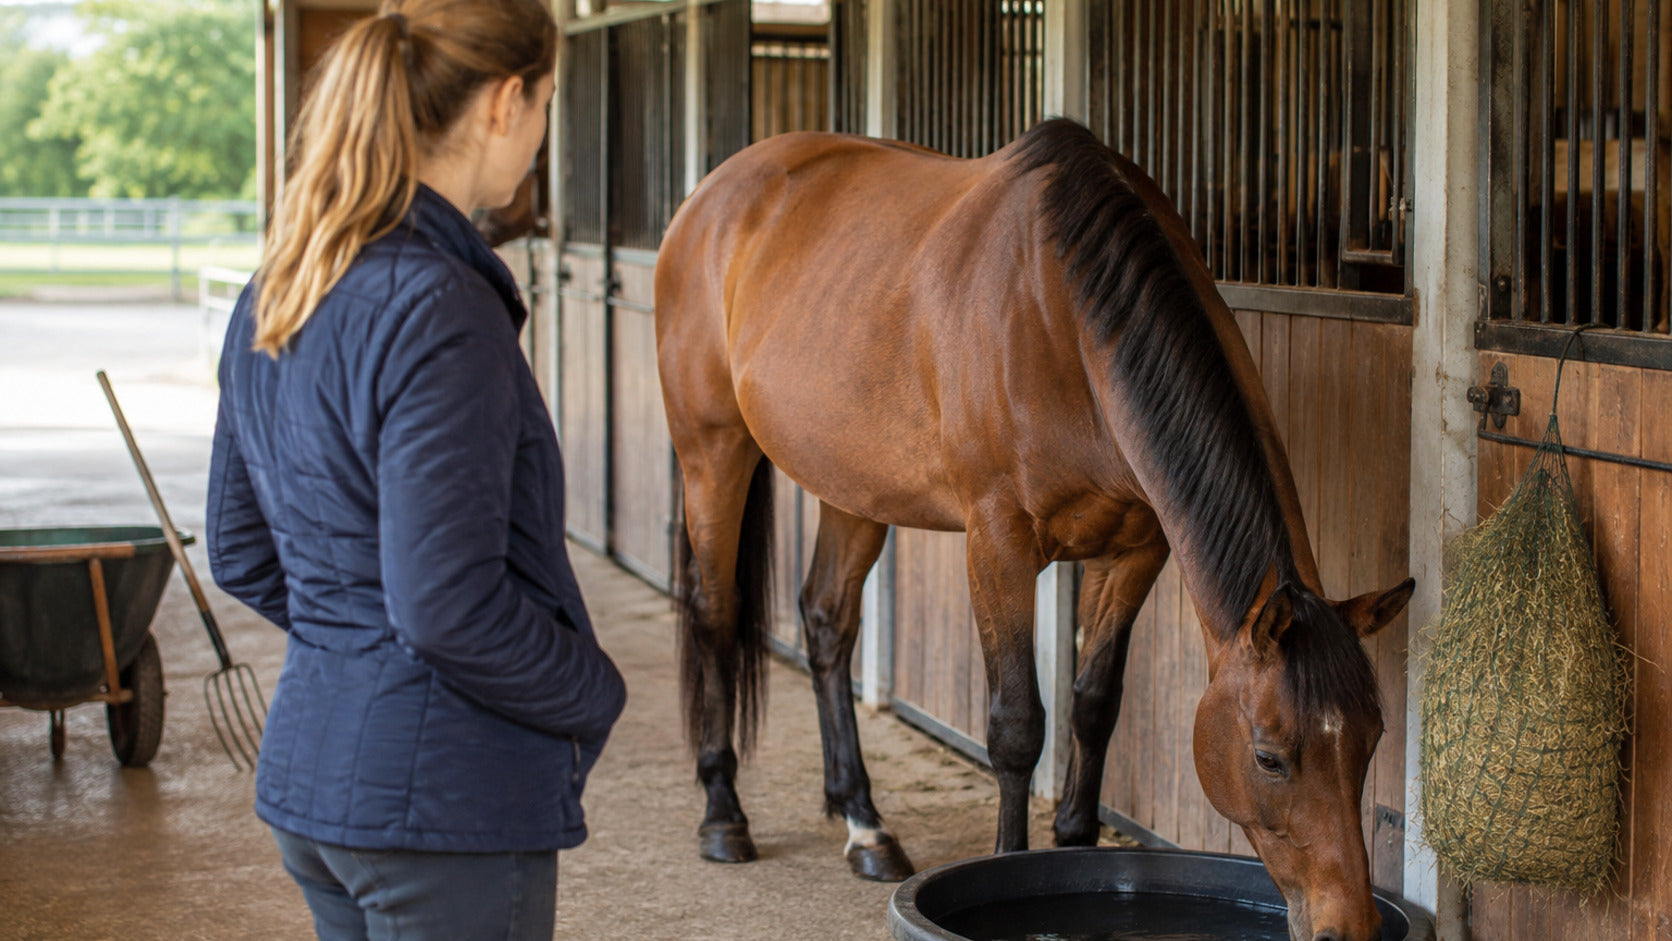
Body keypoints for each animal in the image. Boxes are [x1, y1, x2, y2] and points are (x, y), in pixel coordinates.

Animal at [653, 119, 1414, 941]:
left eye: (1372, 737)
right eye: (1271, 757)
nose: (1350, 927)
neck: (1065, 320)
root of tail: (713, 195)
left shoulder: (1136, 549)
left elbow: (1094, 701)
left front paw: (1073, 844)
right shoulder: (999, 544)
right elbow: (1017, 724)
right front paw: (1009, 864)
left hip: (850, 486)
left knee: (827, 621)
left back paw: (864, 824)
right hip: (712, 451)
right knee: (715, 612)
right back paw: (723, 813)